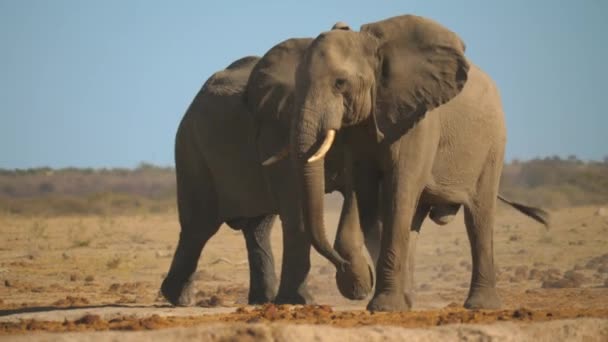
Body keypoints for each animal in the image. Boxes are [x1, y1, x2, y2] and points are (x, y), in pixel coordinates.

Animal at [262, 14, 552, 312]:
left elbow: (399, 190)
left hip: (493, 144)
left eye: (340, 83)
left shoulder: (420, 120)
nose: (344, 269)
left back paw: (481, 305)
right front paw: (387, 297)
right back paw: (411, 299)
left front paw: (384, 305)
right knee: (415, 220)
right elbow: (367, 197)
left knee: (478, 218)